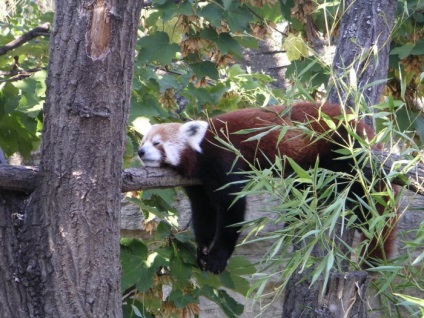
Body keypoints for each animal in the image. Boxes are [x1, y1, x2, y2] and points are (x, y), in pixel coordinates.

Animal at [138, 102, 398, 274]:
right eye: (143, 141)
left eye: (157, 143)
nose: (140, 152)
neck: (201, 151)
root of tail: (362, 127)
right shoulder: (198, 185)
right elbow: (204, 214)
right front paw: (202, 251)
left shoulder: (223, 159)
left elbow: (232, 208)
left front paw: (217, 258)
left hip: (342, 152)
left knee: (362, 198)